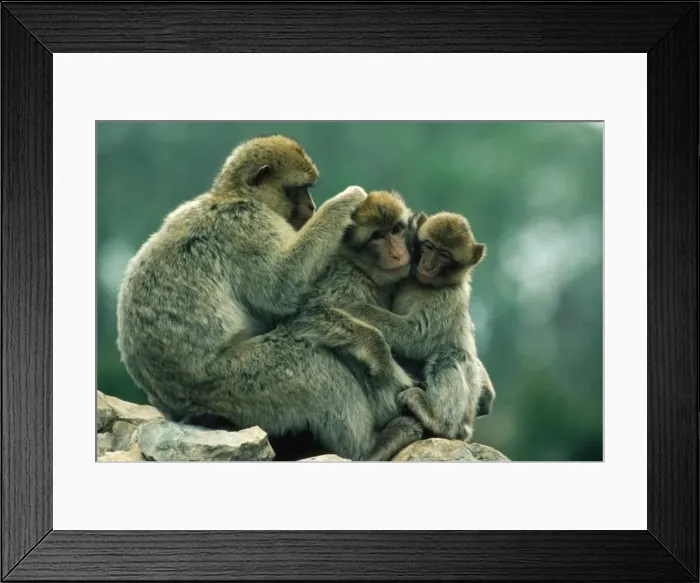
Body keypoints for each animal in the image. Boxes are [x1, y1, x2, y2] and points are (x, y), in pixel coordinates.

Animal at [116, 135, 421, 461]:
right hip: (231, 387)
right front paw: (345, 201)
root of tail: (175, 407)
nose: (312, 206)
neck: (231, 196)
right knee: (309, 360)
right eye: (300, 189)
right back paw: (367, 449)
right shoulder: (248, 224)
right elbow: (282, 289)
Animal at [344, 211, 488, 441]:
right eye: (428, 246)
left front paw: (353, 307)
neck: (425, 285)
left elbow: (416, 337)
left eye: (444, 254)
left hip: (465, 414)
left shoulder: (448, 300)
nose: (427, 266)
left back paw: (438, 421)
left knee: (451, 355)